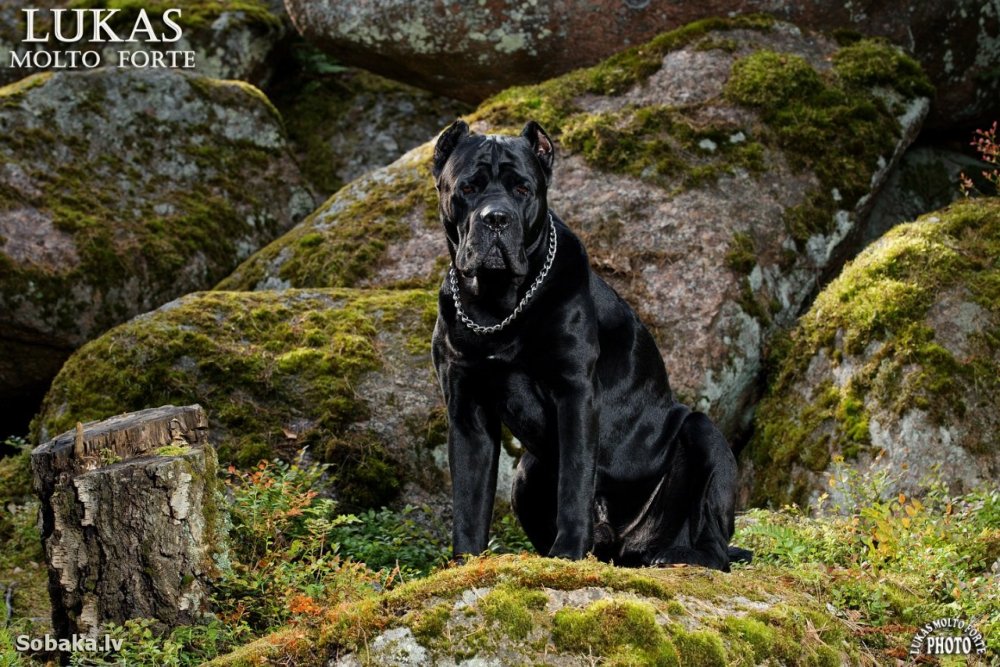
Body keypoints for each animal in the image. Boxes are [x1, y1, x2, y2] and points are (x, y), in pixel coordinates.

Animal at [432, 118, 752, 568]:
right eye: (468, 187)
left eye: (522, 189)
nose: (496, 218)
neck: (497, 306)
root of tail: (628, 546)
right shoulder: (466, 410)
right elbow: (468, 501)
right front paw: (465, 564)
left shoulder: (575, 394)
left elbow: (575, 482)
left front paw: (567, 553)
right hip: (527, 473)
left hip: (703, 434)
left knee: (714, 542)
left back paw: (679, 555)